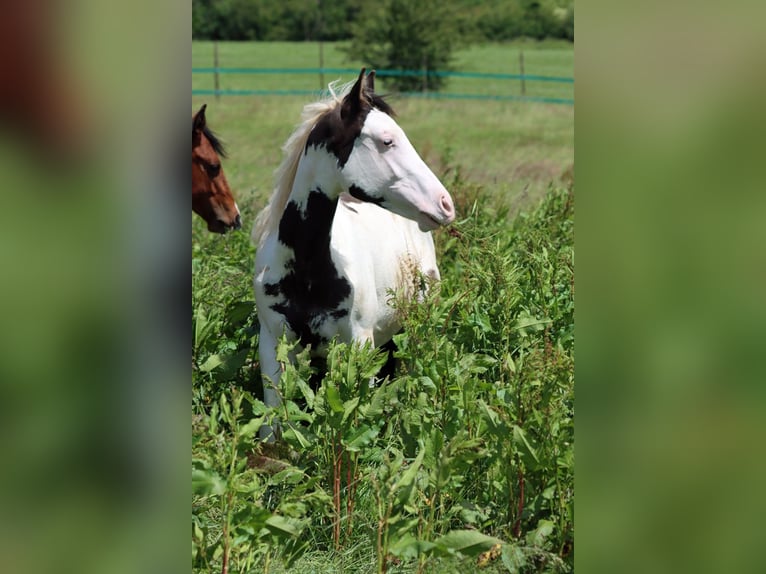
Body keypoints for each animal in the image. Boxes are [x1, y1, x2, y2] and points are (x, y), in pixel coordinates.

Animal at [253, 69, 455, 440]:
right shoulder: (273, 345)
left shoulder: (358, 346)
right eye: (387, 141)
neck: (307, 270)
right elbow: (274, 427)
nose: (445, 204)